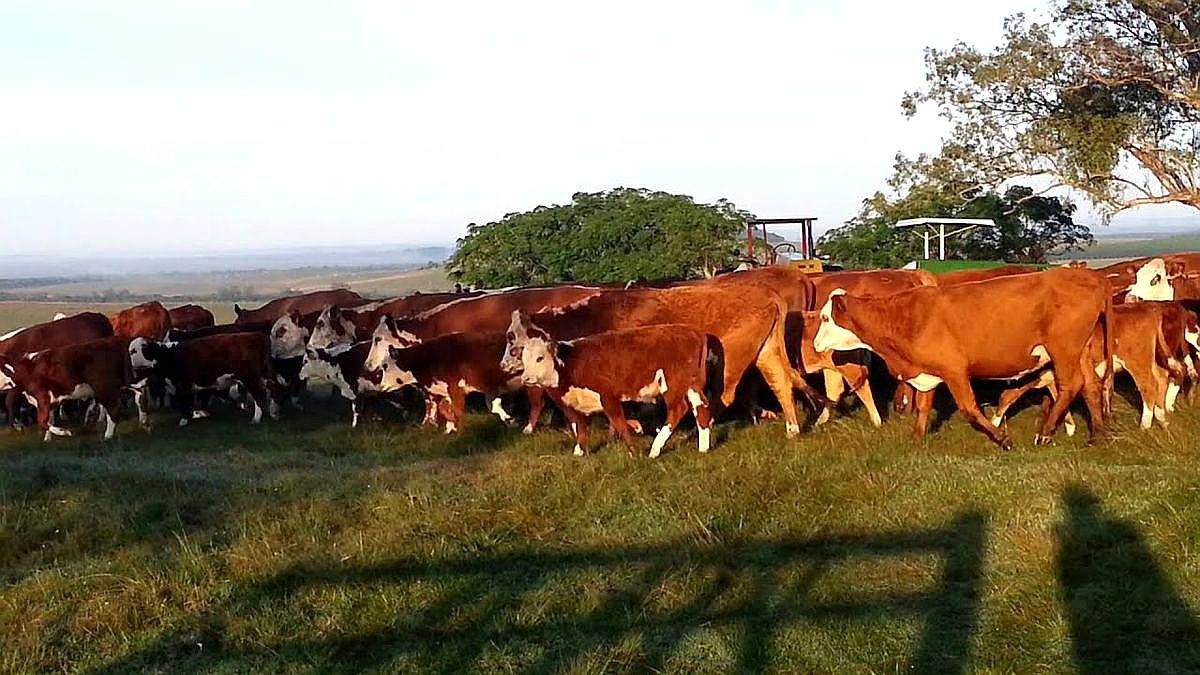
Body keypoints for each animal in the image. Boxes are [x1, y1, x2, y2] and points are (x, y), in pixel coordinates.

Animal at [0, 336, 139, 441]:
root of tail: (115, 341)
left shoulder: (42, 397)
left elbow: (42, 421)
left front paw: (64, 432)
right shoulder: (50, 400)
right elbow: (49, 419)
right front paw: (47, 439)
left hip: (104, 387)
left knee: (114, 410)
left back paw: (108, 436)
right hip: (125, 381)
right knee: (139, 392)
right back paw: (142, 422)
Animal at [128, 333, 281, 426]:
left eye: (134, 351)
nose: (131, 366)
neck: (168, 355)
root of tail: (257, 335)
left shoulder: (184, 384)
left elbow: (185, 402)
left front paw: (184, 420)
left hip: (250, 378)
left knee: (259, 395)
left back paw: (256, 419)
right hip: (265, 374)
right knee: (273, 389)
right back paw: (273, 414)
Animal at [503, 284, 827, 438]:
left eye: (513, 343)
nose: (504, 366)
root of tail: (769, 295)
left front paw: (633, 428)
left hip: (734, 358)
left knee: (723, 396)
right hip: (766, 354)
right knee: (782, 382)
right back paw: (793, 429)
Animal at [510, 323, 714, 458]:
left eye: (540, 358)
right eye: (523, 359)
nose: (526, 379)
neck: (571, 364)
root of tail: (694, 332)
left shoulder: (608, 397)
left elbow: (619, 423)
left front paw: (633, 451)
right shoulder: (574, 405)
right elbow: (582, 426)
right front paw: (579, 451)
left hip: (672, 384)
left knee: (677, 410)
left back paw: (654, 449)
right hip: (692, 384)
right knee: (701, 408)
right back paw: (703, 448)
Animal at [813, 268, 1113, 448]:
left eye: (826, 318)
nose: (815, 345)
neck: (906, 317)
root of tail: (1090, 277)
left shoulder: (954, 370)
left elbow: (969, 407)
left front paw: (1001, 439)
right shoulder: (928, 372)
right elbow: (923, 407)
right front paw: (917, 437)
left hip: (1063, 351)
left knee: (1070, 385)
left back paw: (1046, 432)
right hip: (1080, 350)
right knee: (1090, 385)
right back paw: (1096, 434)